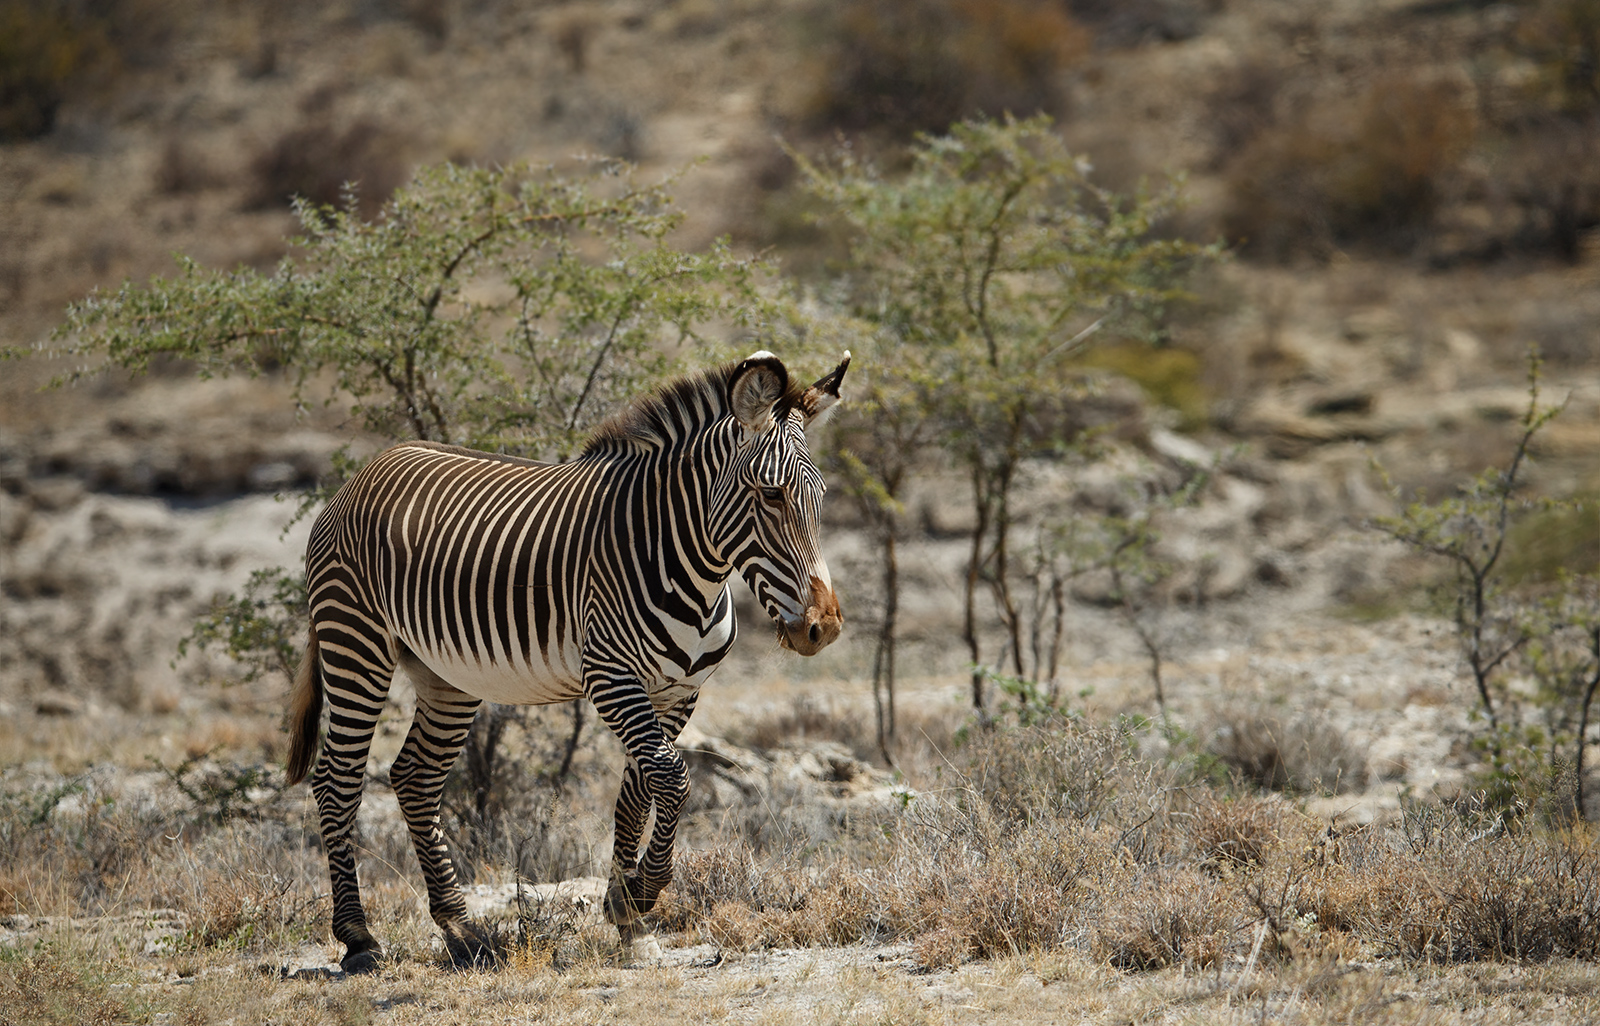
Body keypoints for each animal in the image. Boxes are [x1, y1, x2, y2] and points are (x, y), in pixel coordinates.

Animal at [284, 351, 848, 972]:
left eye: (821, 497)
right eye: (770, 496)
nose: (822, 628)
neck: (688, 563)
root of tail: (364, 472)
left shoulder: (678, 691)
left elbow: (640, 788)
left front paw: (628, 918)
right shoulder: (610, 677)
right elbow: (673, 778)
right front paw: (642, 895)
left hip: (445, 675)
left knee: (414, 777)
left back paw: (461, 929)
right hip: (355, 642)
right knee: (337, 780)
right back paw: (359, 939)